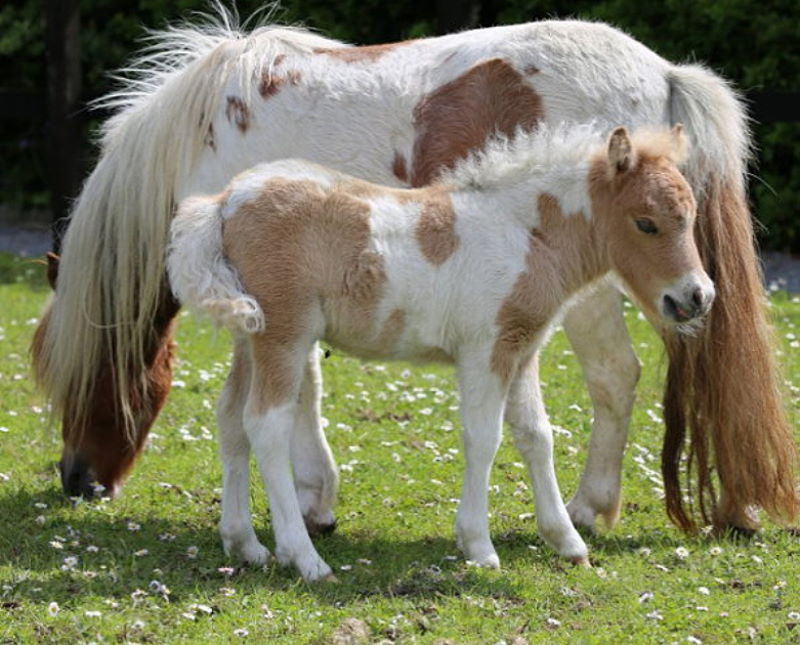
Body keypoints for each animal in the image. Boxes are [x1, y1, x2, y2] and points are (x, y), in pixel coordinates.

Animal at [29, 10, 792, 532]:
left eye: (81, 377)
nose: (76, 480)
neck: (209, 132)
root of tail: (660, 71)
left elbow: (301, 389)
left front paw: (313, 499)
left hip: (598, 295)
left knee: (614, 377)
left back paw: (583, 508)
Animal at [169, 124, 712, 580]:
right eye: (646, 223)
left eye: (690, 217)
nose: (696, 297)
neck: (525, 232)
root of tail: (224, 201)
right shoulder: (485, 349)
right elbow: (484, 438)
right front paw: (479, 546)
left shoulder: (523, 349)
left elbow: (536, 436)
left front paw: (567, 541)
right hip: (285, 334)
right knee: (266, 425)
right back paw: (304, 558)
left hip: (250, 336)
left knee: (231, 419)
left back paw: (245, 544)